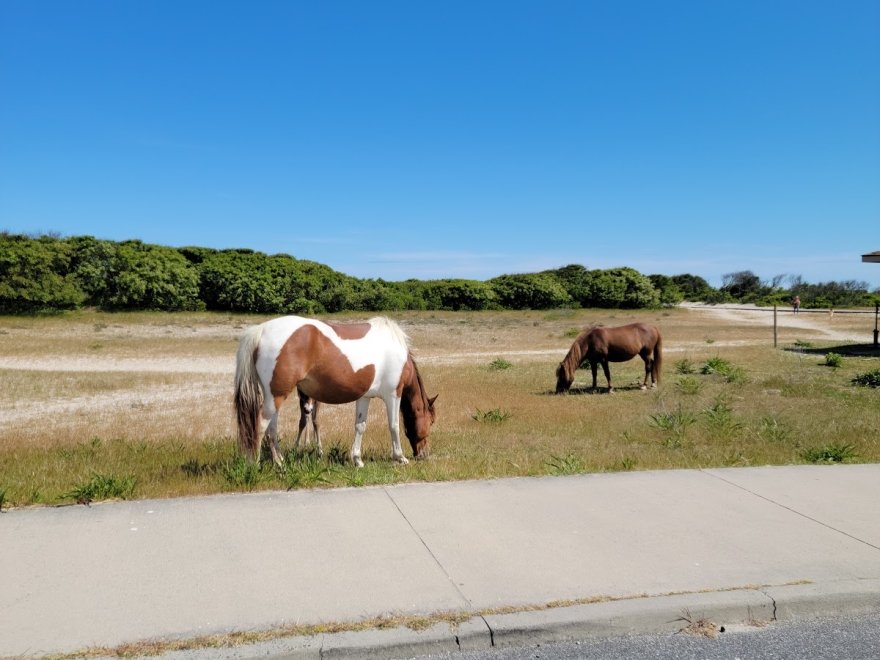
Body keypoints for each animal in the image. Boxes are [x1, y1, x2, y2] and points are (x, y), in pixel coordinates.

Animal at [235, 316, 438, 466]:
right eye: (431, 421)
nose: (424, 454)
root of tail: (261, 330)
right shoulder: (393, 394)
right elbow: (394, 425)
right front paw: (399, 457)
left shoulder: (365, 396)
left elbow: (360, 426)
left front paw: (357, 459)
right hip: (276, 396)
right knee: (261, 426)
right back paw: (254, 464)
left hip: (275, 396)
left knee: (272, 429)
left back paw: (279, 462)